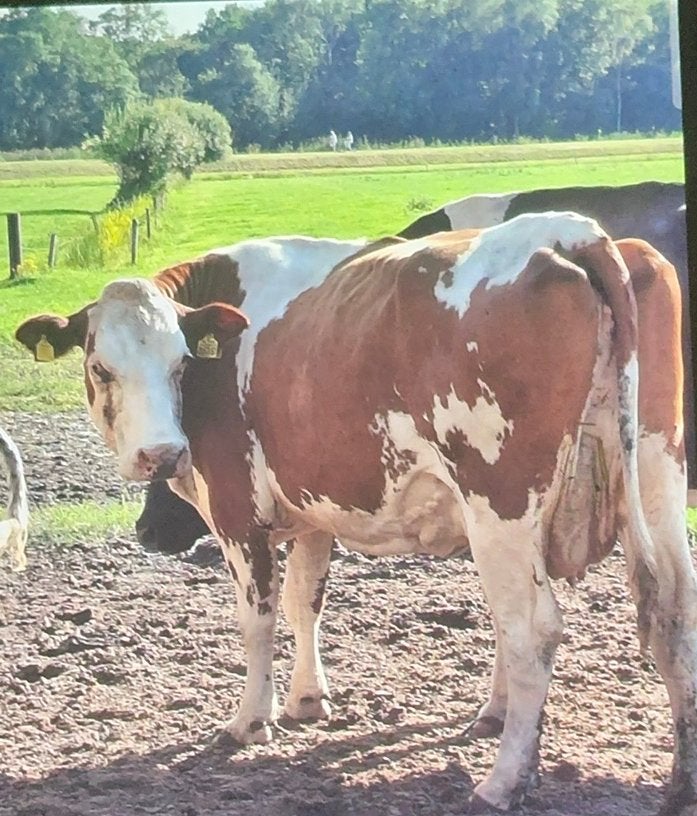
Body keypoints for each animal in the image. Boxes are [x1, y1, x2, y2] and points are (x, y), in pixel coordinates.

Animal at [15, 212, 697, 813]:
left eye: (180, 363)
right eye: (101, 368)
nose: (161, 453)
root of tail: (573, 232)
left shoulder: (237, 512)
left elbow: (259, 618)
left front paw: (250, 721)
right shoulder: (315, 515)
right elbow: (305, 602)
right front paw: (307, 701)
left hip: (500, 501)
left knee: (532, 629)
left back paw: (502, 783)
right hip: (655, 469)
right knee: (672, 611)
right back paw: (676, 778)